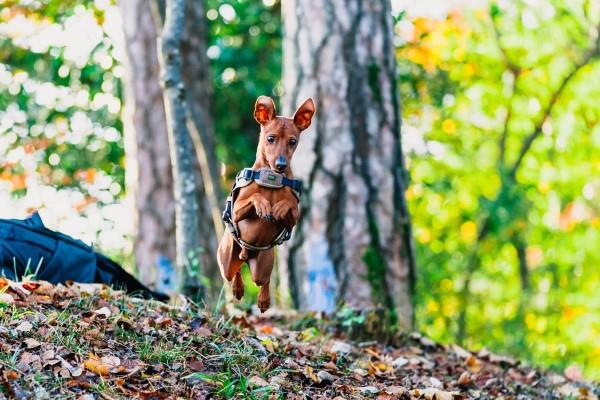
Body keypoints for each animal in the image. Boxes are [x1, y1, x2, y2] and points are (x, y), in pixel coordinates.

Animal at [218, 95, 316, 310]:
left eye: (293, 142)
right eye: (270, 138)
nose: (281, 165)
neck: (271, 178)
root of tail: (247, 254)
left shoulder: (294, 219)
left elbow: (290, 208)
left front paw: (278, 208)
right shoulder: (237, 210)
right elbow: (254, 198)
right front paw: (263, 205)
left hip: (263, 265)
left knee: (264, 280)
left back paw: (264, 299)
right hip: (226, 258)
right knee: (234, 270)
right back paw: (238, 288)